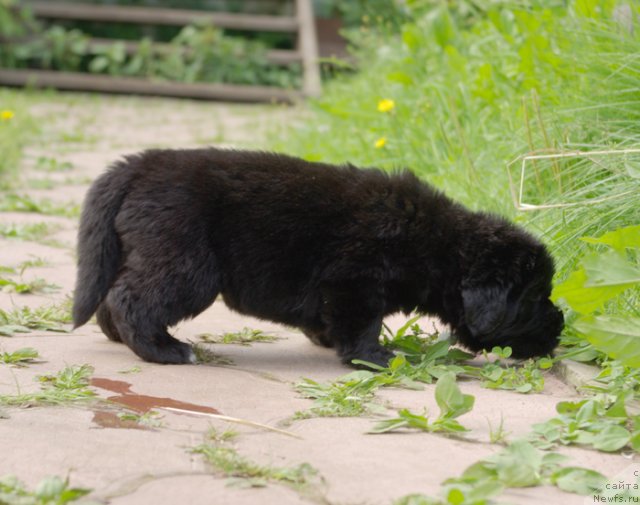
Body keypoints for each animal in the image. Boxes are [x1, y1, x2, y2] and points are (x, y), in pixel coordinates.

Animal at [72, 148, 564, 364]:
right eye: (535, 297)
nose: (560, 324)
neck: (438, 244)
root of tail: (138, 165)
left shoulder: (338, 292)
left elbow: (329, 321)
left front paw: (327, 341)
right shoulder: (355, 282)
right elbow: (362, 325)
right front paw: (376, 357)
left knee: (113, 295)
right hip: (186, 267)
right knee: (130, 299)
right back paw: (165, 350)